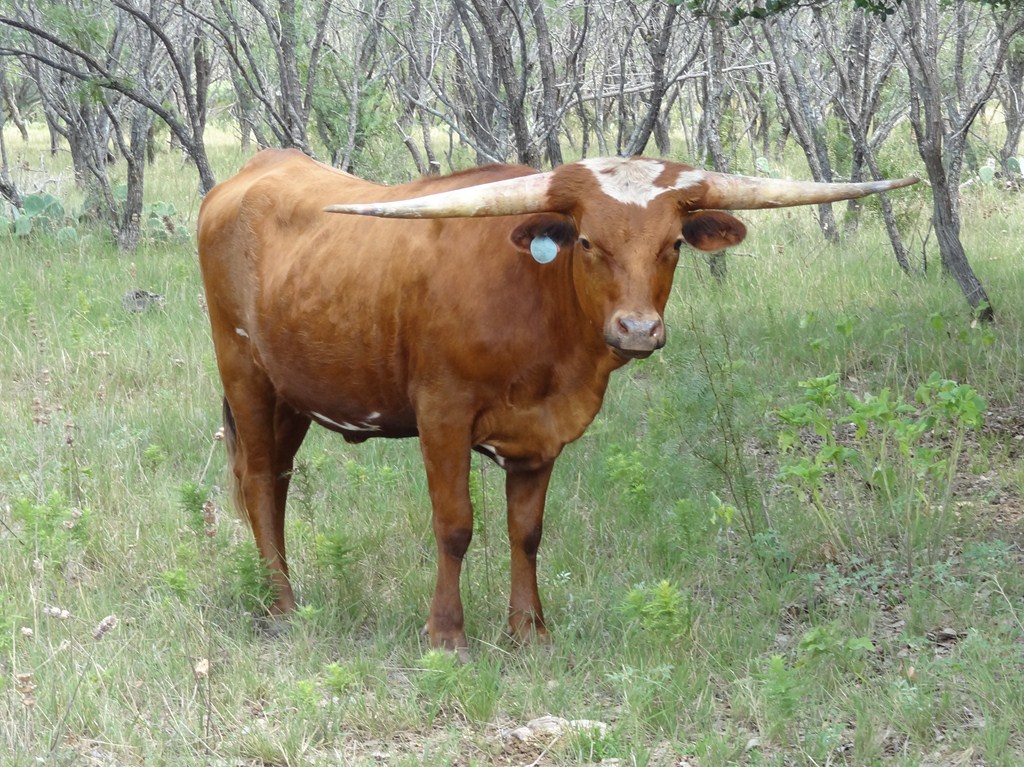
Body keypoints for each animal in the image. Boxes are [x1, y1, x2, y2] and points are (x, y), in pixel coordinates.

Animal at [197, 148, 915, 656]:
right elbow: (455, 525)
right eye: (589, 242)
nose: (638, 329)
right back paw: (282, 606)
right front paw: (447, 635)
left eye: (673, 244)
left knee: (277, 482)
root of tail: (252, 171)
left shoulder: (539, 435)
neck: (538, 313)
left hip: (293, 393)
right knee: (257, 480)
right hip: (244, 374)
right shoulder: (442, 415)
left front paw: (529, 631)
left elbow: (527, 531)